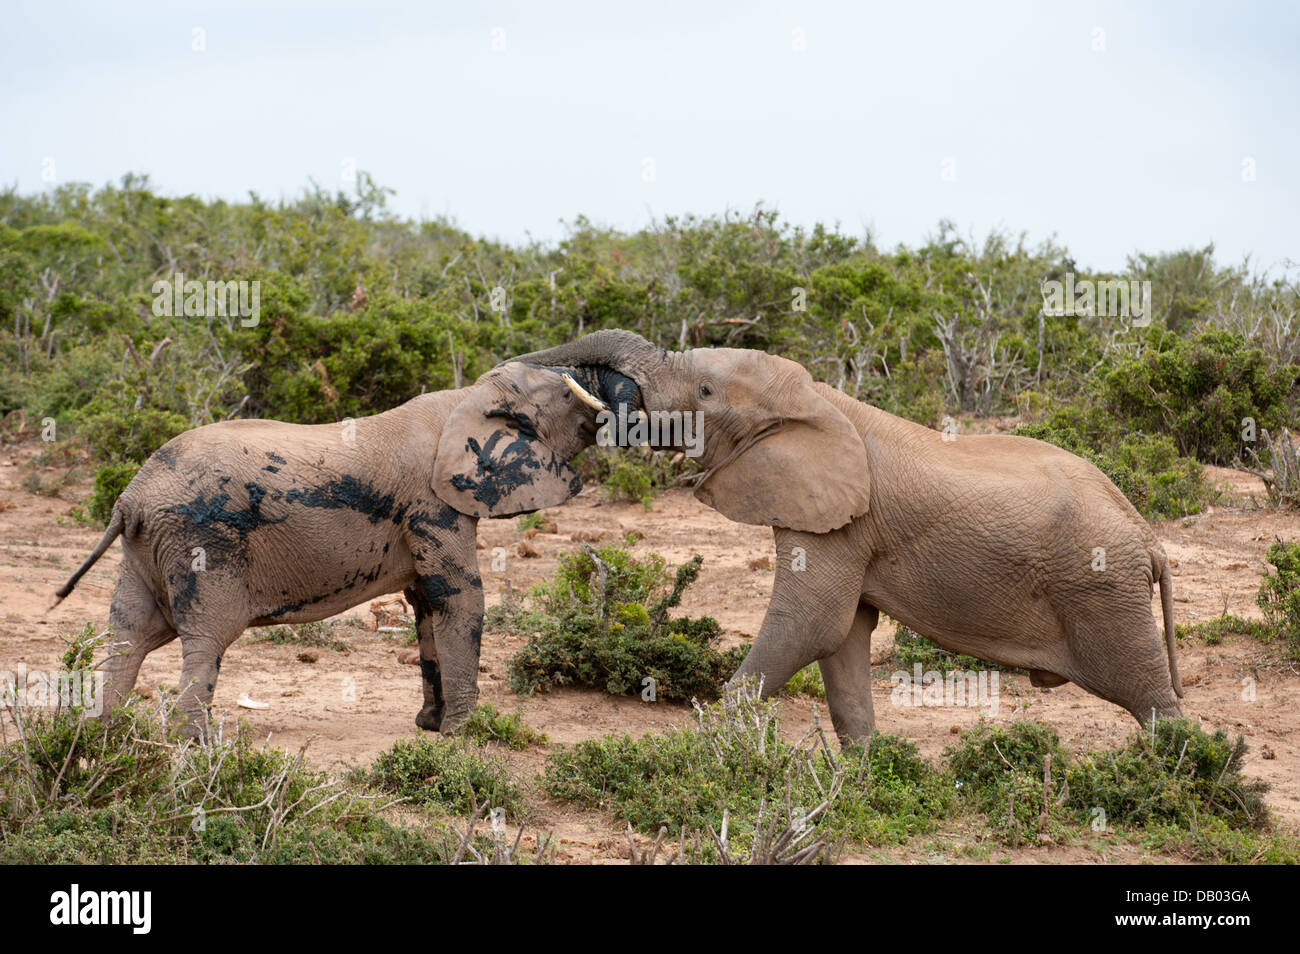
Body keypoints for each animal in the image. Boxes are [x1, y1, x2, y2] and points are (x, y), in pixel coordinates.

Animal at [52, 361, 618, 738]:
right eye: (566, 396)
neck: (469, 396)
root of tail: (130, 496)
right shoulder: (432, 505)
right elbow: (459, 597)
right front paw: (463, 734)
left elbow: (426, 606)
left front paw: (430, 727)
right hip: (200, 539)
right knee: (206, 638)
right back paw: (195, 745)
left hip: (145, 548)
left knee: (128, 635)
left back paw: (100, 738)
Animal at [506, 330, 1190, 748]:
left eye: (704, 391)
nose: (521, 370)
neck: (819, 399)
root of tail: (1148, 536)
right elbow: (842, 639)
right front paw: (867, 771)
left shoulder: (842, 523)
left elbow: (810, 623)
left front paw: (713, 749)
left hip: (1101, 587)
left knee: (1146, 691)